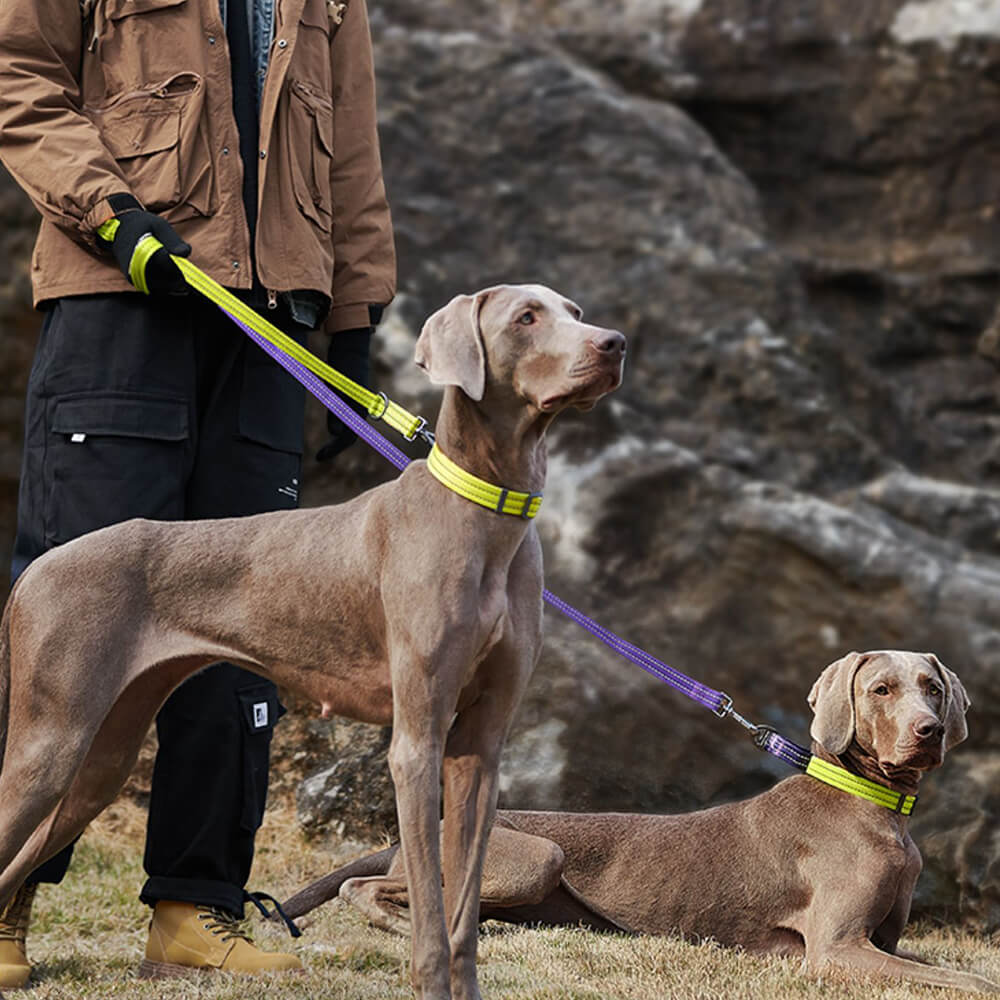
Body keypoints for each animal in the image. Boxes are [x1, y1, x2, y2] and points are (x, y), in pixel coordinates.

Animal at [0, 284, 624, 1000]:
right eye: (526, 317)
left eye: (576, 314)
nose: (614, 344)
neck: (486, 509)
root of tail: (36, 570)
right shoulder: (417, 743)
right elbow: (431, 913)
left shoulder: (481, 751)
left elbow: (463, 914)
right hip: (50, 744)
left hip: (101, 757)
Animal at [284, 648, 1000, 992]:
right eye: (881, 690)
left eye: (932, 688)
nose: (930, 731)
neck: (873, 801)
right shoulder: (836, 950)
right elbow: (963, 977)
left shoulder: (883, 943)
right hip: (536, 856)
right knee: (365, 887)